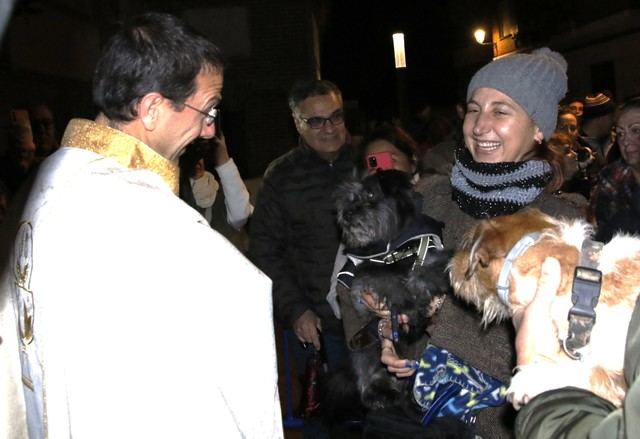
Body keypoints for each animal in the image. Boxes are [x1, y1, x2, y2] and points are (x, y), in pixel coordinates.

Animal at [328, 170, 452, 424]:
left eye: (370, 195)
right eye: (350, 198)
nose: (346, 214)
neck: (391, 247)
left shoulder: (428, 256)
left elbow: (428, 273)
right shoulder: (363, 271)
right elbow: (374, 278)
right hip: (366, 354)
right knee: (366, 378)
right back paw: (380, 394)